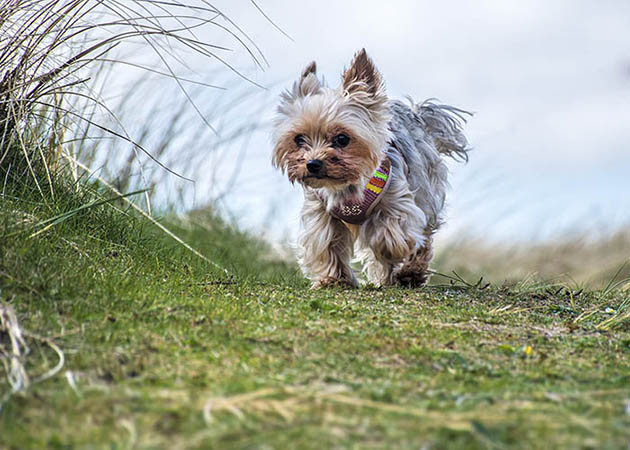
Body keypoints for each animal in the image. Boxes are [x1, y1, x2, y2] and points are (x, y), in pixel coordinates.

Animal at [274, 49, 472, 288]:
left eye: (342, 139)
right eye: (299, 139)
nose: (313, 164)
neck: (345, 186)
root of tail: (416, 113)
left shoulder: (396, 201)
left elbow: (389, 234)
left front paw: (389, 253)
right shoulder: (322, 212)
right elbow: (327, 243)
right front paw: (334, 278)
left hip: (424, 189)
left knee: (424, 235)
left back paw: (410, 272)